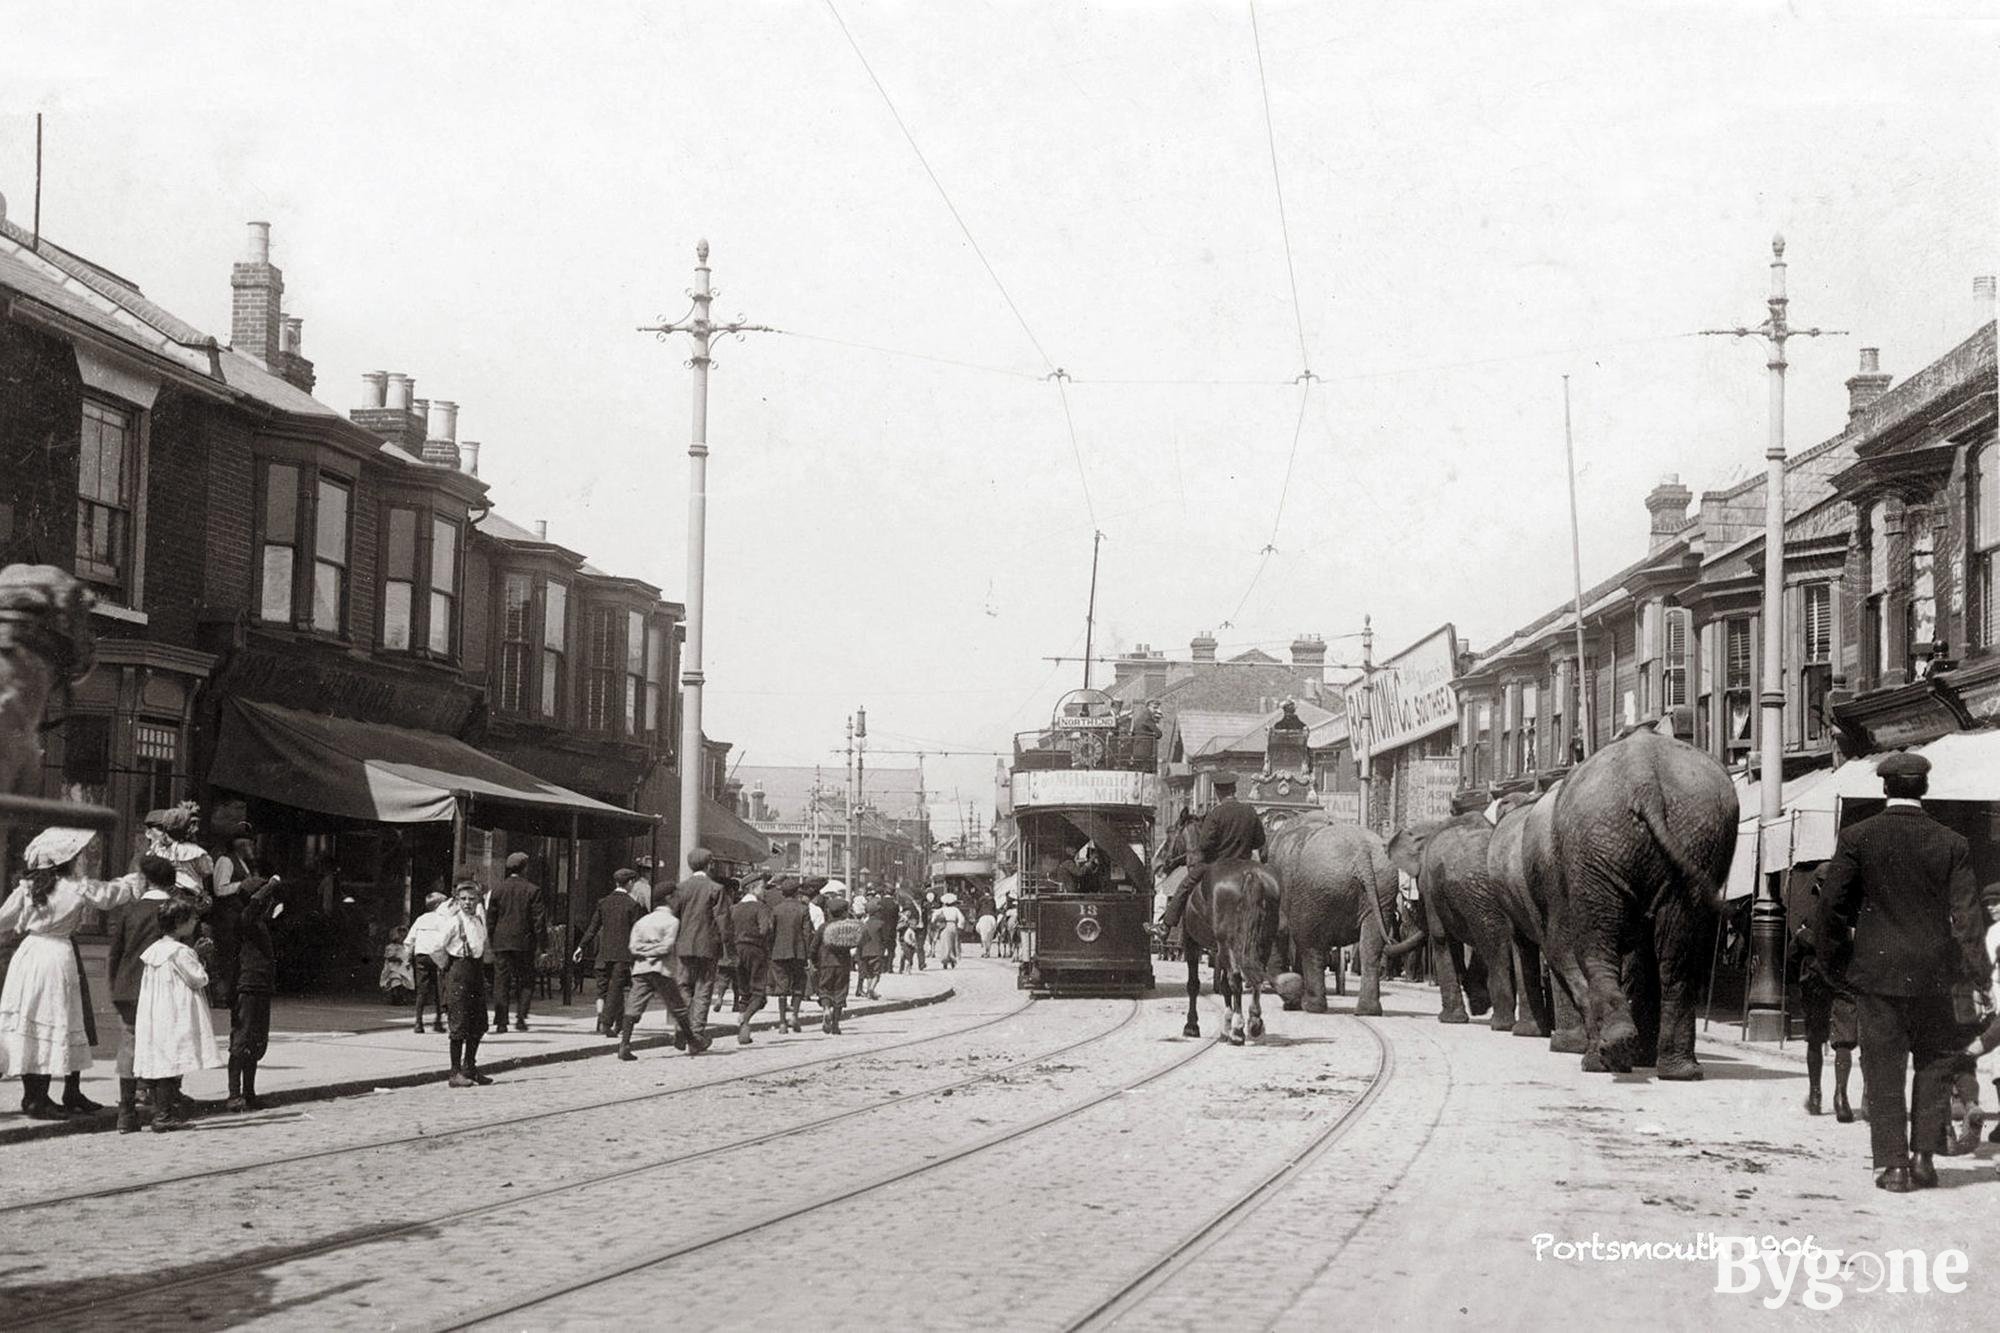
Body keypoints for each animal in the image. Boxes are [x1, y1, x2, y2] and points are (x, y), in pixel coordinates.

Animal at [1256, 808, 1400, 1016]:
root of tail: (1362, 854)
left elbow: (1281, 929)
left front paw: (1290, 996)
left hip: (1318, 890)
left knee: (1311, 945)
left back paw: (1312, 1006)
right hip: (1382, 887)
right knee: (1371, 946)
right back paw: (1368, 1011)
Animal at [1544, 720, 1736, 1072]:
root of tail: (1644, 781)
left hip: (1597, 844)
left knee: (1596, 948)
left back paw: (1604, 1058)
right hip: (1695, 837)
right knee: (1678, 955)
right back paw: (1680, 1071)